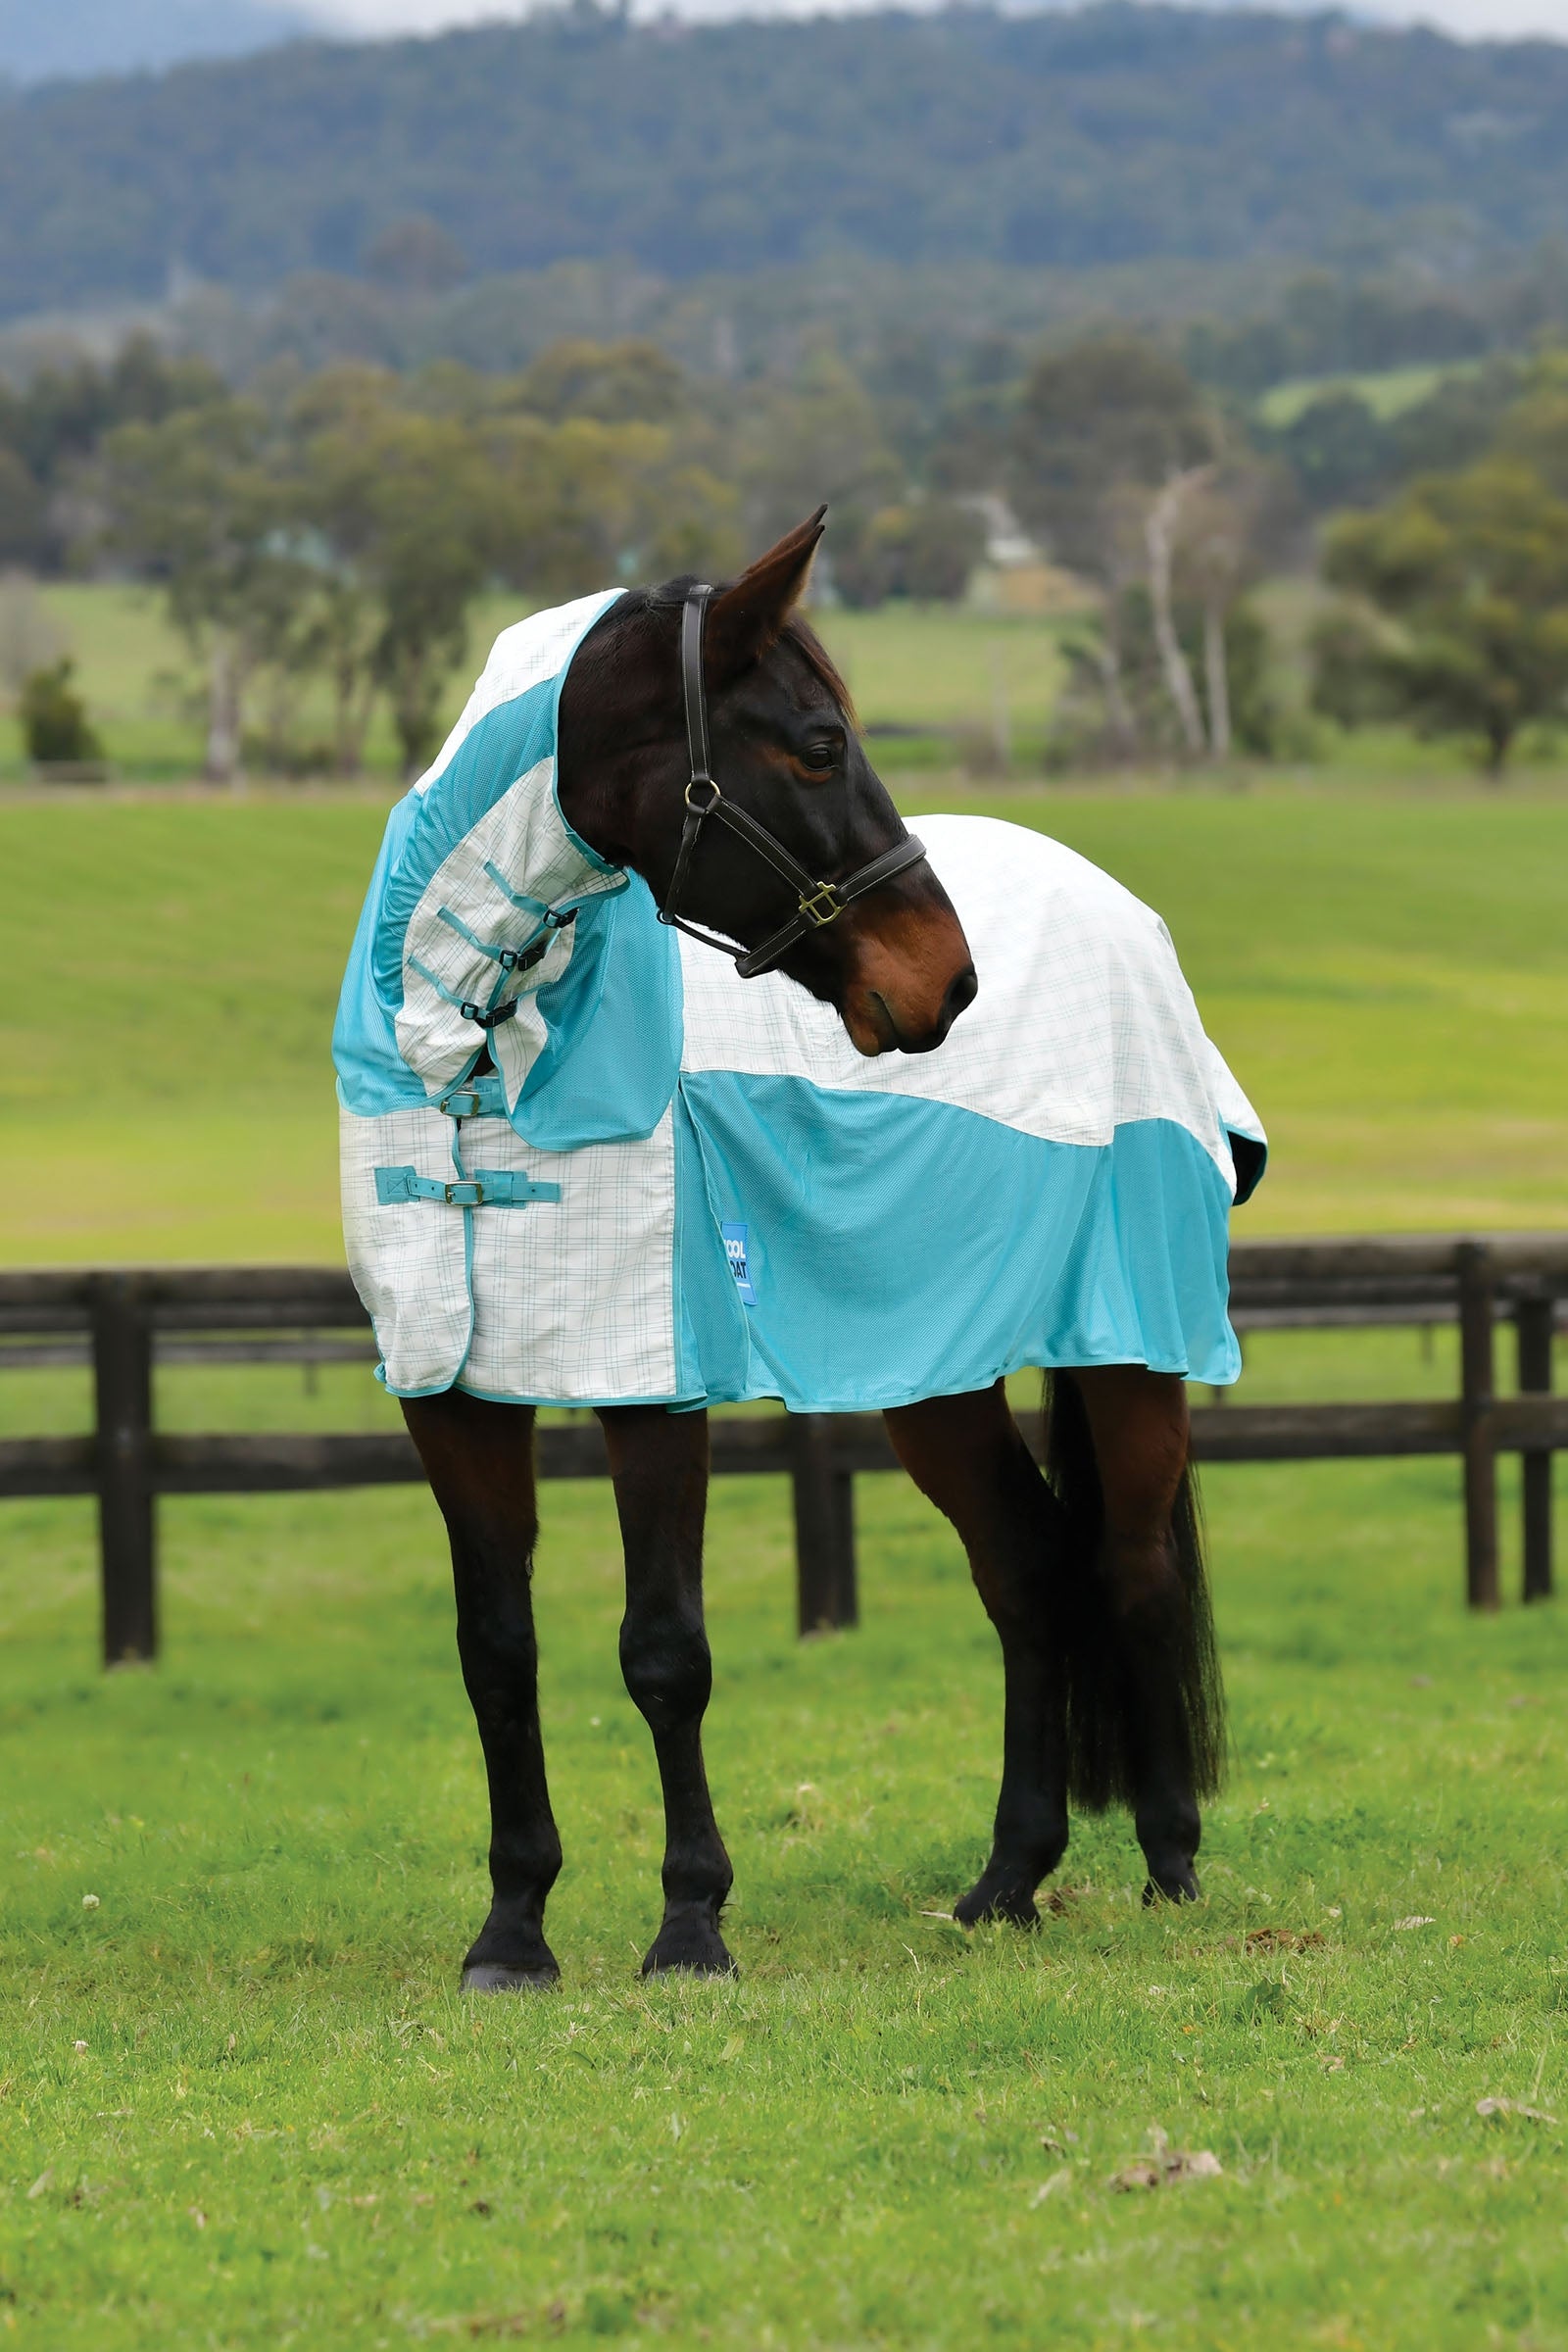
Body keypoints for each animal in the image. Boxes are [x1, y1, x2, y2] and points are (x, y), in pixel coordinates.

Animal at [336, 511, 1255, 1989]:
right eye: (819, 741)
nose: (946, 981)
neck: (472, 1054)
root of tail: (1124, 913)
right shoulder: (451, 1393)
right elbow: (496, 1650)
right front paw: (513, 1928)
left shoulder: (651, 1383)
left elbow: (664, 1652)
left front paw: (690, 1925)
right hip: (932, 1377)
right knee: (1030, 1571)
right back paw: (1008, 1878)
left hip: (1130, 1348)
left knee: (1130, 1564)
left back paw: (1169, 1859)